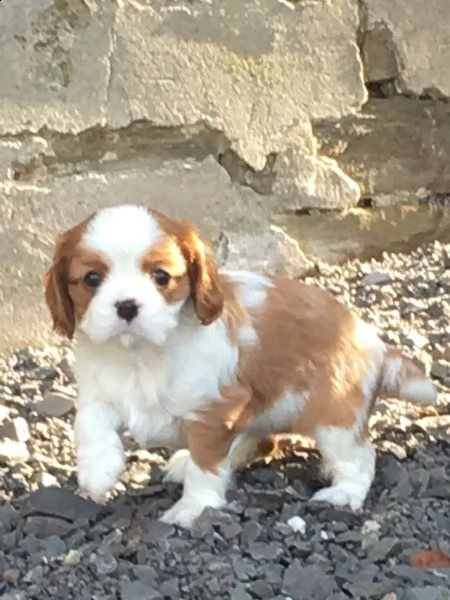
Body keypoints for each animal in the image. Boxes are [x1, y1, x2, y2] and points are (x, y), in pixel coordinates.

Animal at [44, 205, 438, 524]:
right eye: (92, 279)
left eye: (161, 277)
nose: (127, 306)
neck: (140, 354)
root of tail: (372, 341)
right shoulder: (98, 388)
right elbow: (89, 423)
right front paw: (98, 472)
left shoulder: (213, 410)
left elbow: (206, 464)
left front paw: (194, 507)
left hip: (334, 416)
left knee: (359, 456)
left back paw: (344, 493)